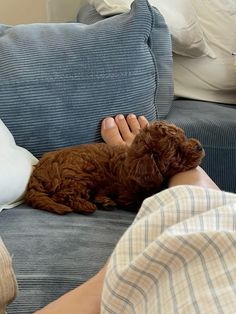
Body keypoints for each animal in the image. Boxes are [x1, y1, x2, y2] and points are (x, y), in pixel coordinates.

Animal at [24, 121, 204, 215]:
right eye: (177, 152)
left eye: (184, 137)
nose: (200, 147)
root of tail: (38, 171)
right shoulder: (128, 196)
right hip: (76, 176)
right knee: (63, 196)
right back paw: (87, 206)